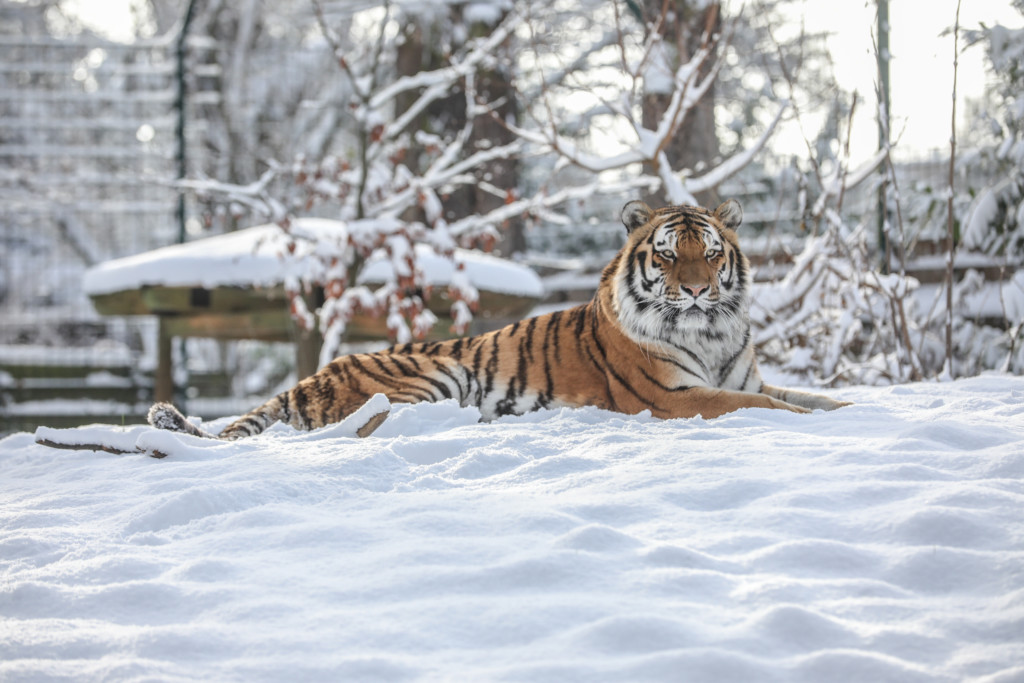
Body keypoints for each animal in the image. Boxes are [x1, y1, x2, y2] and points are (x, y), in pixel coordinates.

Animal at [149, 198, 847, 444]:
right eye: (670, 255)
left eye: (713, 253)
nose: (699, 290)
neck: (712, 331)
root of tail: (315, 375)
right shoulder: (675, 397)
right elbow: (768, 407)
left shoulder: (745, 378)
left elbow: (808, 395)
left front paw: (851, 410)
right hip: (436, 378)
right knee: (359, 427)